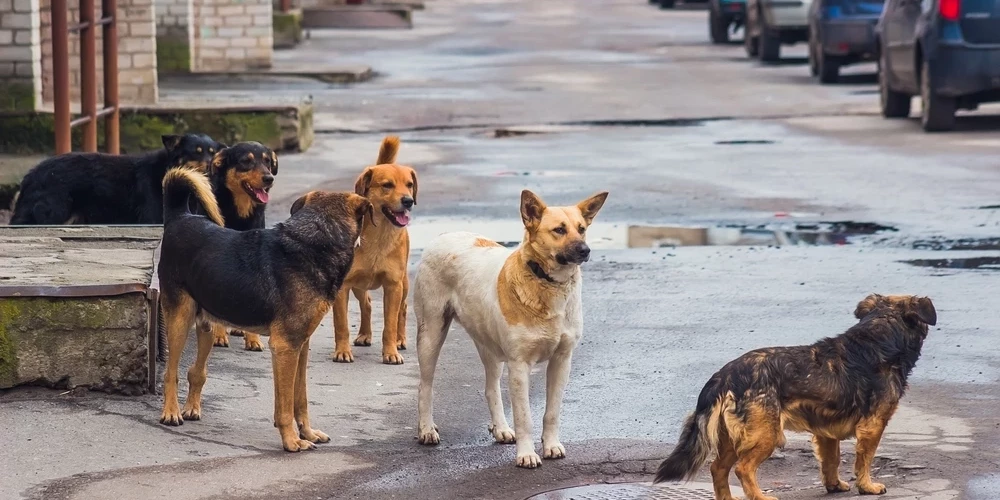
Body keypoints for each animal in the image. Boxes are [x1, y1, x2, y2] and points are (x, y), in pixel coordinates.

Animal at [10, 134, 225, 226]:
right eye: (196, 152)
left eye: (212, 152)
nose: (211, 165)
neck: (166, 169)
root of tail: (31, 175)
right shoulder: (152, 218)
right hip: (53, 213)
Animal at [195, 141, 278, 352]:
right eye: (246, 161)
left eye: (267, 161)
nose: (269, 178)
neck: (240, 213)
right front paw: (218, 335)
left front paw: (253, 339)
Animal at [332, 135, 418, 366]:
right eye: (387, 185)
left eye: (409, 185)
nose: (408, 201)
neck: (379, 236)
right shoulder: (343, 287)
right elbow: (341, 324)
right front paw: (342, 351)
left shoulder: (393, 286)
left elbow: (390, 324)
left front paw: (391, 352)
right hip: (358, 285)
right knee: (367, 304)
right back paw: (364, 334)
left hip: (404, 284)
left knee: (402, 309)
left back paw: (400, 339)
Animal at [410, 188, 604, 468]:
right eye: (559, 230)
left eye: (582, 229)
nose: (585, 250)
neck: (547, 283)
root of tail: (444, 235)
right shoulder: (520, 365)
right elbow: (524, 417)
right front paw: (526, 454)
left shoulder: (562, 360)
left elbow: (552, 412)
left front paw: (551, 445)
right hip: (431, 335)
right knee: (425, 386)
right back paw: (426, 429)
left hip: (488, 345)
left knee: (491, 388)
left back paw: (500, 428)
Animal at [656, 292, 936, 500]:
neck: (880, 336)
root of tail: (724, 375)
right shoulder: (873, 426)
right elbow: (864, 460)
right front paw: (867, 487)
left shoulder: (826, 431)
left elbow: (831, 461)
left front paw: (834, 485)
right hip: (767, 434)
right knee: (743, 468)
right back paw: (760, 496)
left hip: (732, 437)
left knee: (718, 468)